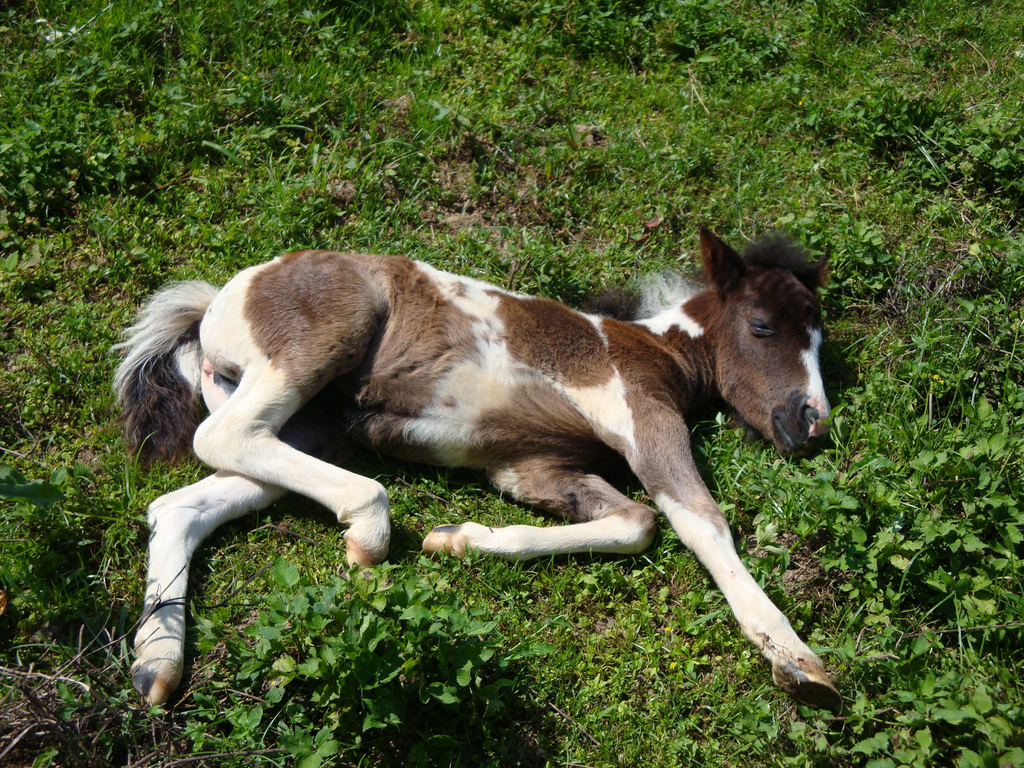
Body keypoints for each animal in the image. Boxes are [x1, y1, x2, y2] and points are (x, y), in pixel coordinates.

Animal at [116, 227, 839, 708]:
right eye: (762, 326)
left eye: (820, 335)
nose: (813, 424)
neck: (652, 347)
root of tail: (216, 303)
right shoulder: (644, 420)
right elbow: (699, 523)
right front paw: (799, 661)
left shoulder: (531, 468)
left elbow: (633, 522)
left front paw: (458, 541)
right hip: (315, 352)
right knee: (222, 436)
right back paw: (368, 528)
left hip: (308, 431)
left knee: (183, 502)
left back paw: (155, 666)